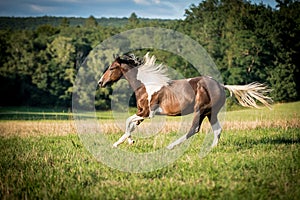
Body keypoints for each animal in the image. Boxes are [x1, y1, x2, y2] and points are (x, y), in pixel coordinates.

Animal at [98, 52, 272, 149]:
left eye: (112, 68)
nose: (101, 82)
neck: (146, 85)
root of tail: (221, 85)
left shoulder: (147, 113)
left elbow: (128, 121)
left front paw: (127, 141)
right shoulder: (142, 114)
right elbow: (131, 125)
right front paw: (122, 143)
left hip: (200, 110)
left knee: (194, 129)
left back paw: (171, 146)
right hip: (211, 112)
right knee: (217, 130)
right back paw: (212, 148)